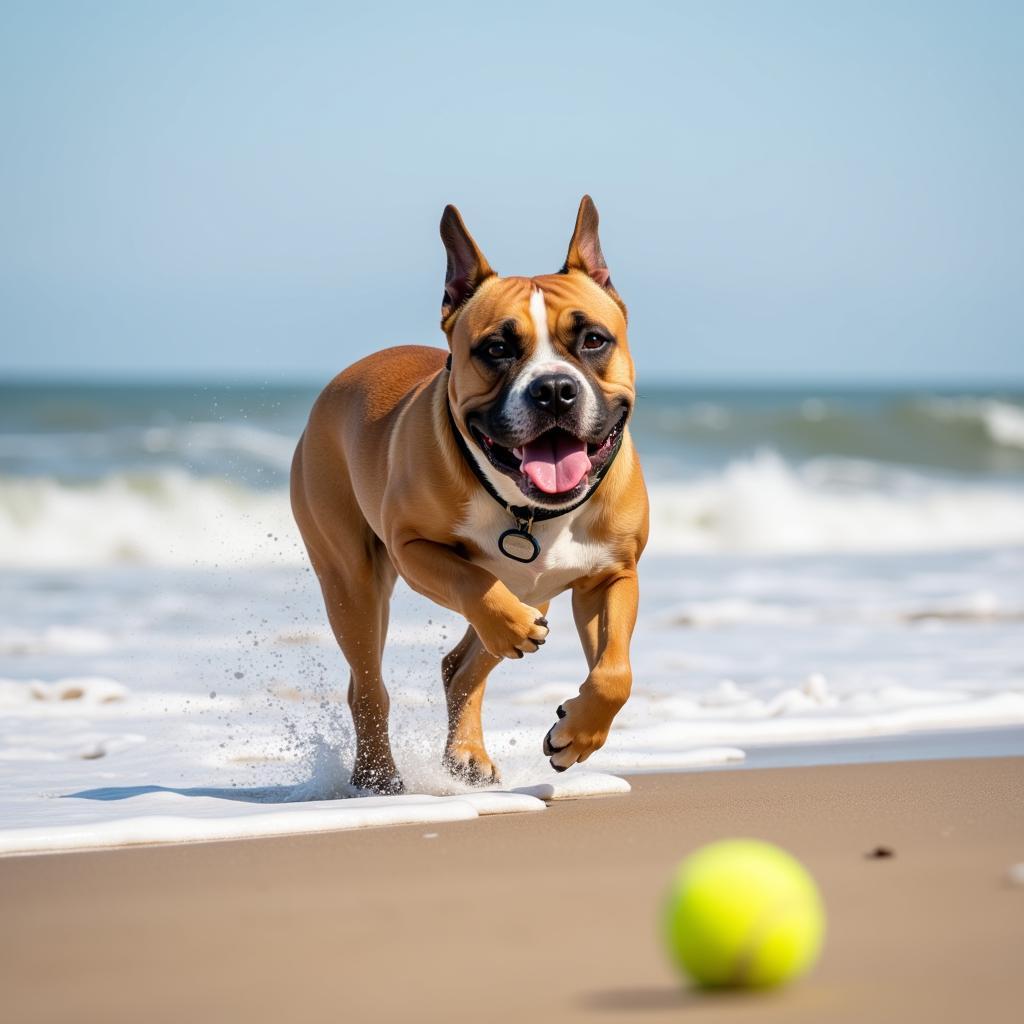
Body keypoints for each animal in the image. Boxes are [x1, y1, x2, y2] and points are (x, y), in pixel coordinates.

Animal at [290, 197, 647, 790]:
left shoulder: (611, 575)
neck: (527, 511)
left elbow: (616, 672)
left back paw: (467, 756)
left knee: (460, 668)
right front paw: (507, 623)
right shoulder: (412, 549)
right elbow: (471, 581)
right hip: (351, 583)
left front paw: (577, 735)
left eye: (594, 340)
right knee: (368, 685)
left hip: (537, 590)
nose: (554, 388)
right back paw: (378, 776)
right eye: (497, 348)